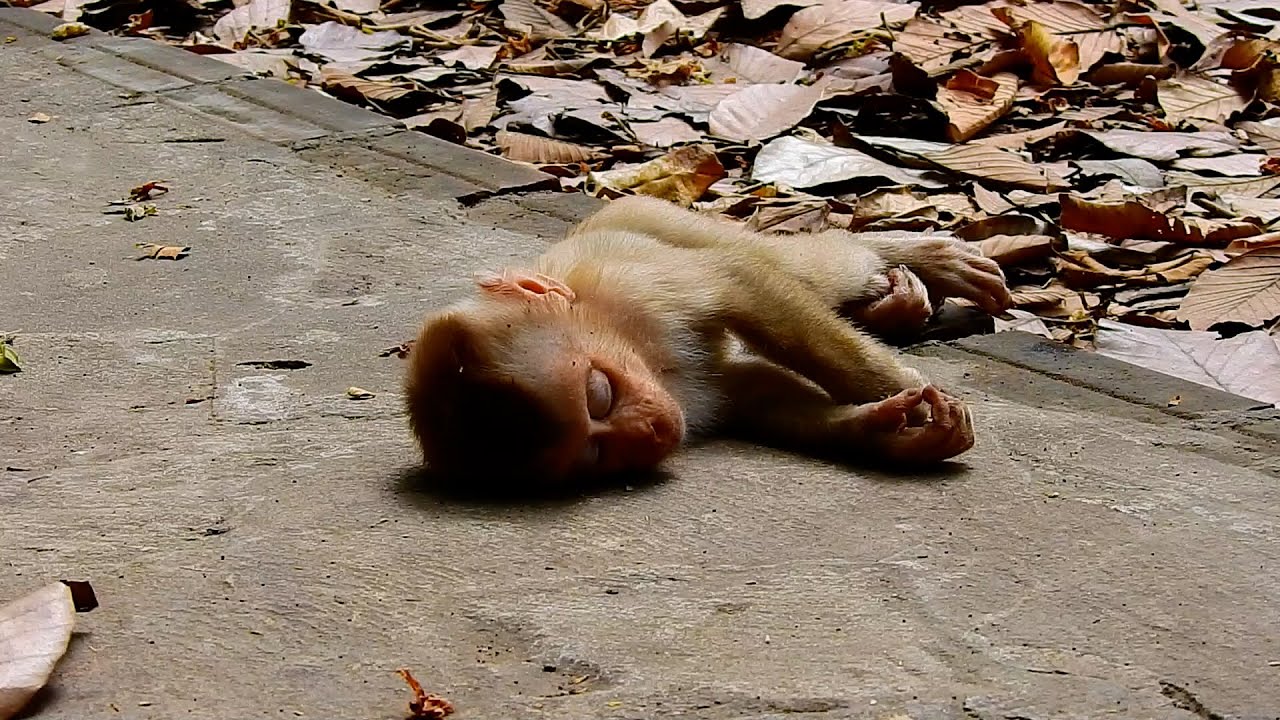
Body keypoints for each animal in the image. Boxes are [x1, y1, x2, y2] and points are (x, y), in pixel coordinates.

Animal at [405, 195, 1011, 483]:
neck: (621, 336)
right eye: (593, 453)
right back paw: (895, 309)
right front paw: (890, 430)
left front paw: (893, 384)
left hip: (649, 214)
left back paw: (913, 259)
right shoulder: (684, 397)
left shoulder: (635, 290)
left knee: (798, 267)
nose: (652, 434)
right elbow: (754, 394)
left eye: (600, 393)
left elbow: (745, 286)